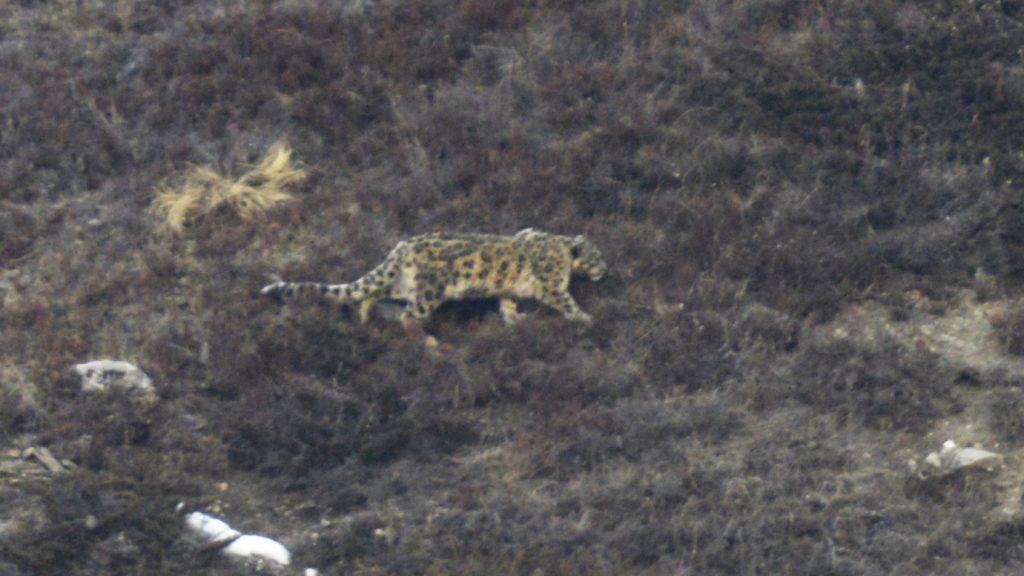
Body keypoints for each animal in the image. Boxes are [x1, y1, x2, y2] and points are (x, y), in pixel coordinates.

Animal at [261, 228, 606, 326]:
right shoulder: (553, 286)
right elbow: (566, 301)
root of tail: (401, 247)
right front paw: (586, 318)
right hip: (429, 293)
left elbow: (506, 300)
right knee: (408, 318)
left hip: (403, 285)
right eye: (596, 257)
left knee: (371, 293)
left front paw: (514, 318)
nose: (605, 268)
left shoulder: (507, 287)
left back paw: (365, 318)